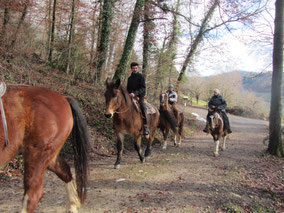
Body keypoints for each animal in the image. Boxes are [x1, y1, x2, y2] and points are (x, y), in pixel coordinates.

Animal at [0, 84, 89, 213]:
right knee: (65, 171)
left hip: (37, 153)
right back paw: (73, 205)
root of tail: (63, 98)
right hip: (47, 154)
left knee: (33, 194)